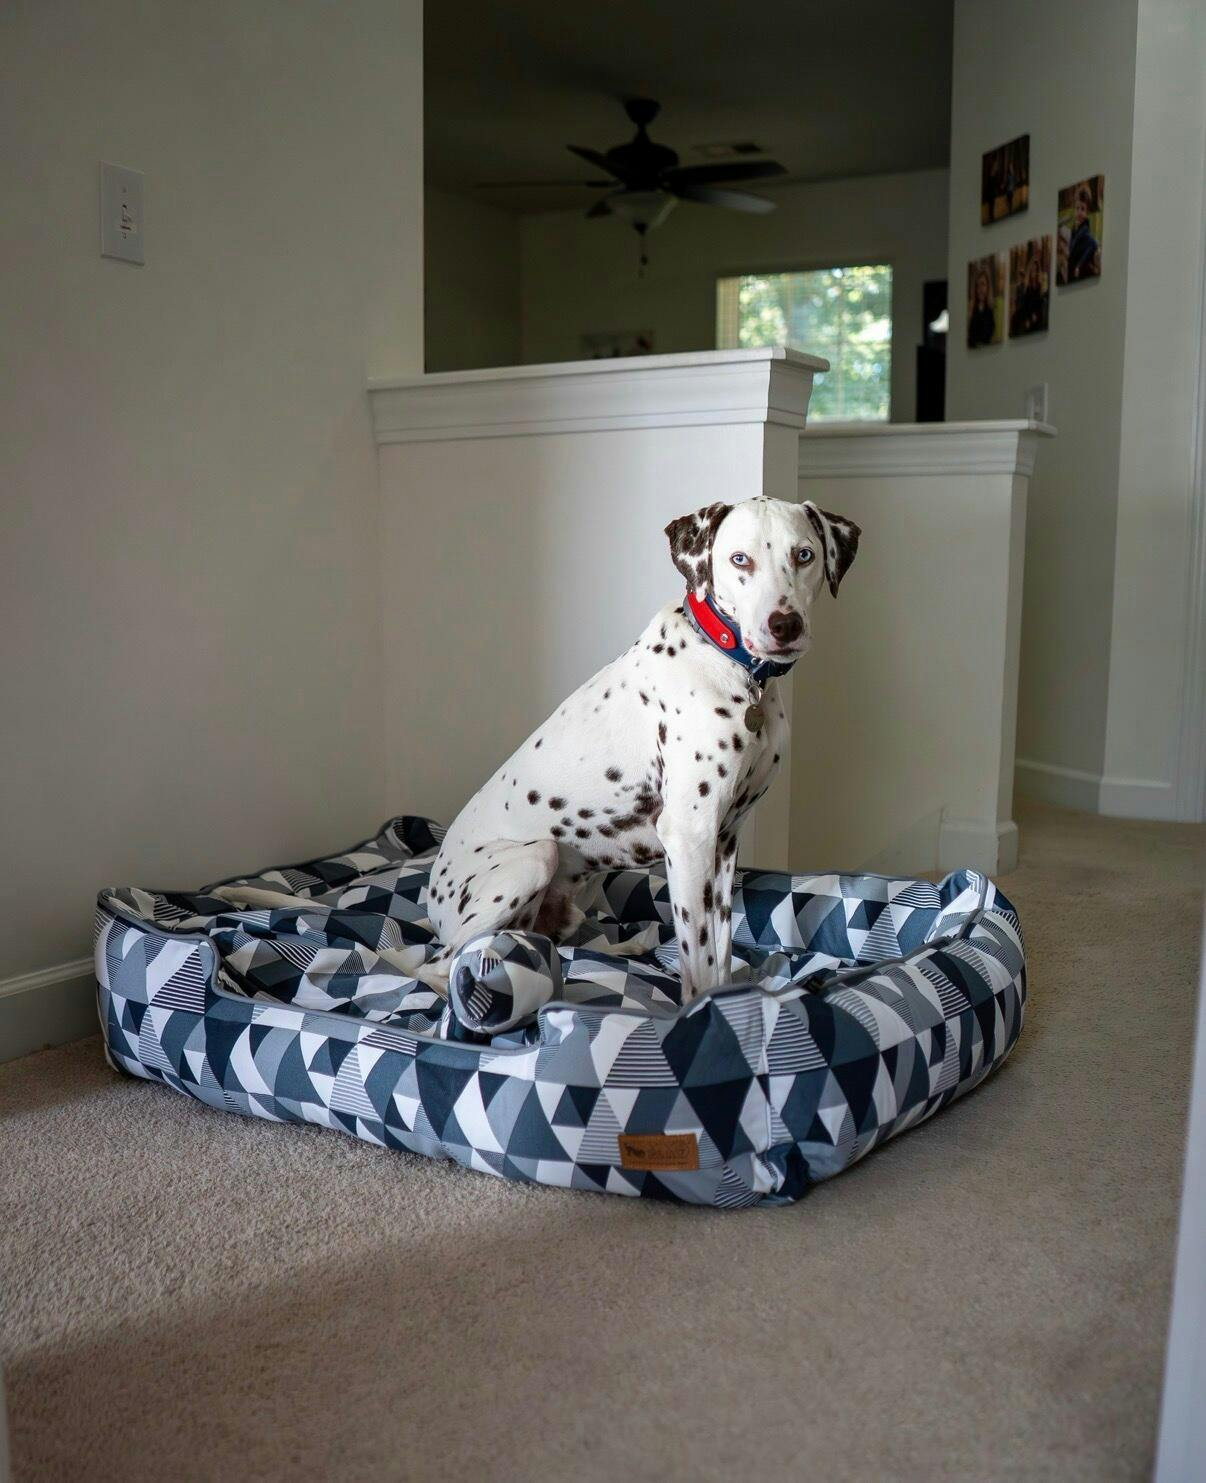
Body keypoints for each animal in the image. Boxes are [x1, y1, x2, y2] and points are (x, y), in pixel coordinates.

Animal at [423, 495, 859, 1002]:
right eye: (740, 559)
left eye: (804, 555)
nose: (785, 624)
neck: (729, 662)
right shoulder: (689, 838)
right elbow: (699, 960)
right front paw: (699, 1010)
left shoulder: (724, 841)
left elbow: (722, 951)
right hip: (534, 859)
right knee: (435, 966)